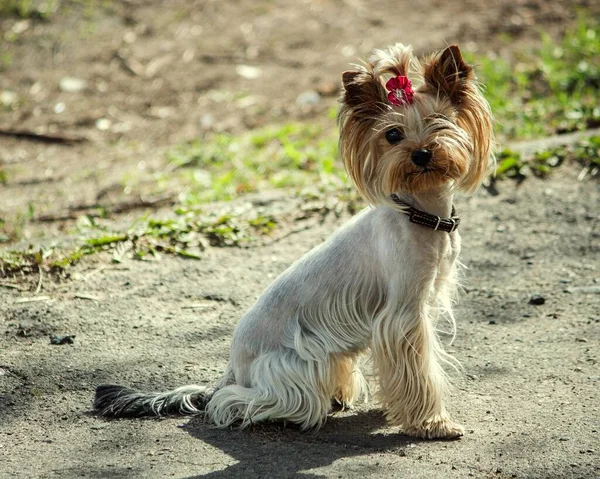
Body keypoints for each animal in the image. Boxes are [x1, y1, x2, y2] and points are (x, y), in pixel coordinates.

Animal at [94, 43, 494, 440]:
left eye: (440, 121)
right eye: (392, 135)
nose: (421, 153)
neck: (419, 212)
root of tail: (231, 368)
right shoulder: (403, 315)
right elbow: (420, 371)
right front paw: (432, 423)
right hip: (296, 363)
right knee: (239, 400)